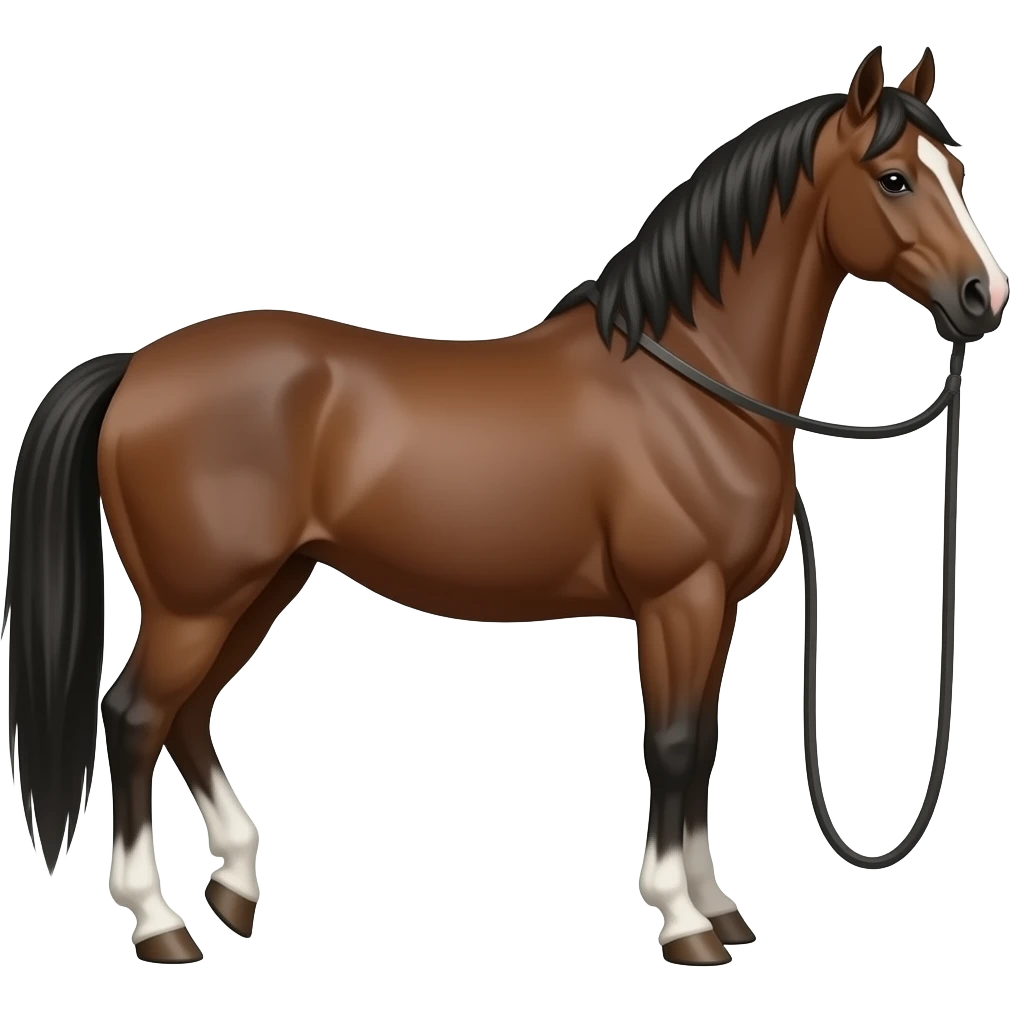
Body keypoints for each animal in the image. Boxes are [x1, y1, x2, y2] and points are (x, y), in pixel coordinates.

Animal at [3, 45, 1006, 967]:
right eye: (894, 177)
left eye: (955, 172)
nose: (982, 297)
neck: (690, 379)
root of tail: (137, 367)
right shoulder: (675, 599)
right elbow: (675, 744)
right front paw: (682, 921)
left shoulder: (713, 606)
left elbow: (705, 745)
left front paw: (719, 906)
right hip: (198, 600)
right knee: (135, 716)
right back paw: (159, 922)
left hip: (257, 588)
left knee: (187, 713)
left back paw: (235, 888)